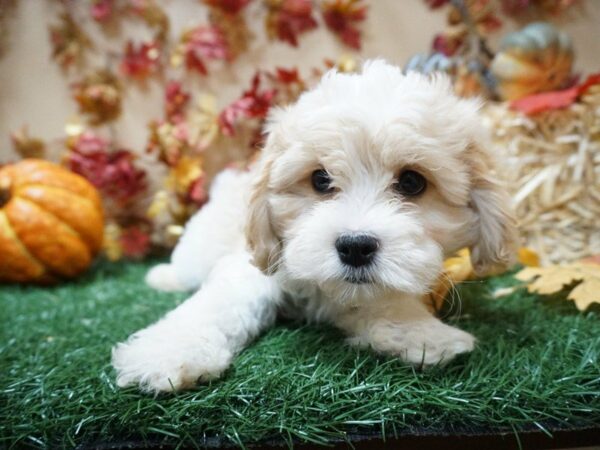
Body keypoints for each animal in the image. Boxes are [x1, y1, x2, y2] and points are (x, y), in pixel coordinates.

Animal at [115, 60, 516, 394]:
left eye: (412, 183)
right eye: (320, 180)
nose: (355, 246)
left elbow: (383, 299)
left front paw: (422, 332)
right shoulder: (252, 266)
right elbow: (218, 304)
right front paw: (167, 354)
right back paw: (162, 277)